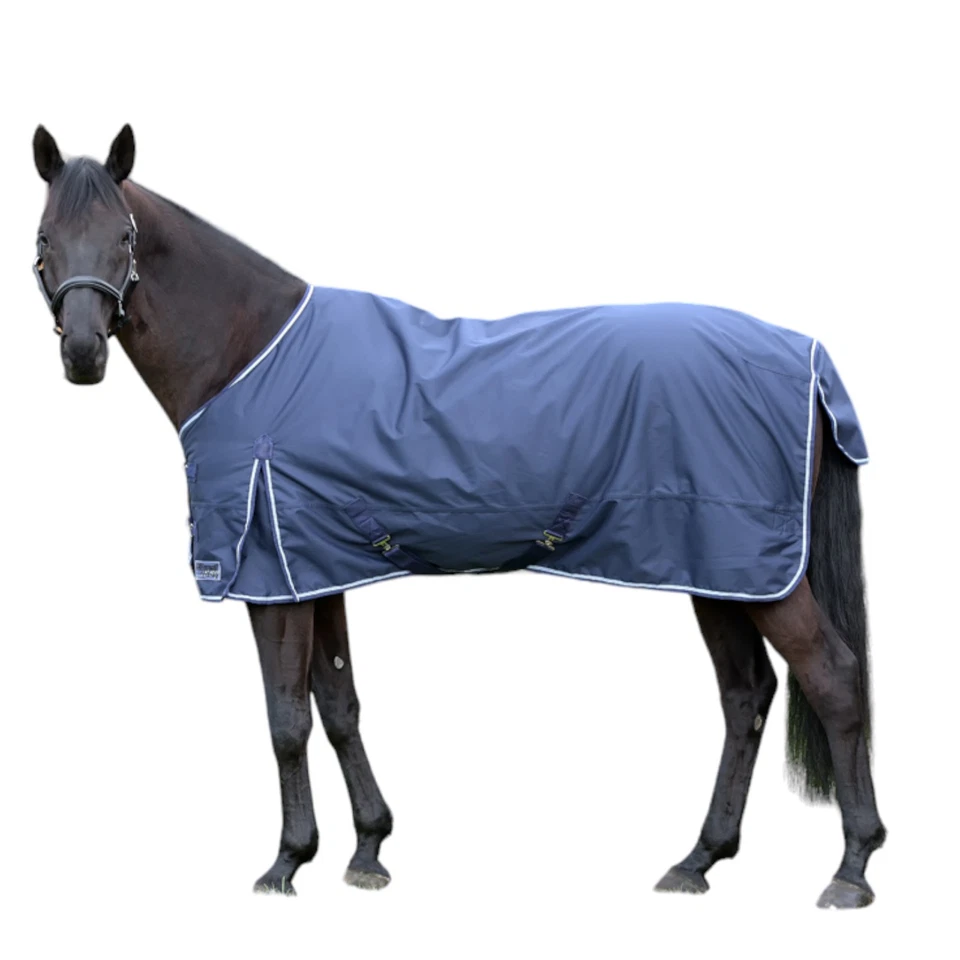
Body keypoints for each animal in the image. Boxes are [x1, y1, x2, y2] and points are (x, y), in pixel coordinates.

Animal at [30, 124, 885, 908]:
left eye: (125, 236)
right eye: (44, 238)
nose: (83, 355)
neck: (250, 355)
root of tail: (809, 357)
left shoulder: (270, 578)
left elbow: (286, 720)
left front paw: (286, 862)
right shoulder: (316, 570)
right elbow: (338, 706)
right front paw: (368, 849)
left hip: (761, 573)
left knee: (834, 680)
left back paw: (851, 868)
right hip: (719, 570)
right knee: (747, 697)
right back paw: (698, 860)